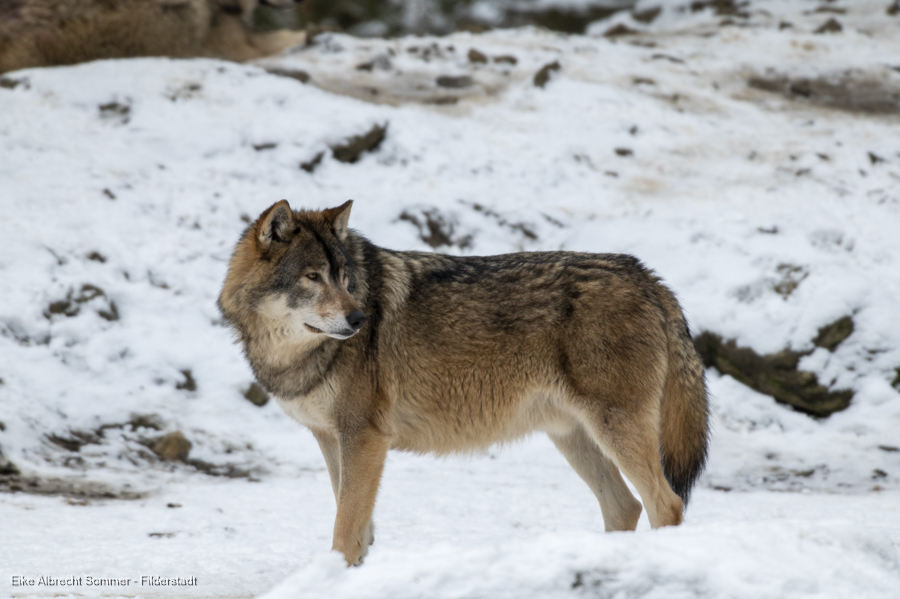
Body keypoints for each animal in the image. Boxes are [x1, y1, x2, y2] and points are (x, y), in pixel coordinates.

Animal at [218, 200, 710, 566]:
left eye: (343, 278)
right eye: (312, 276)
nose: (359, 319)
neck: (296, 356)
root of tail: (645, 274)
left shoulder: (366, 437)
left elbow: (345, 527)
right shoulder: (331, 437)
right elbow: (357, 527)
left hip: (615, 430)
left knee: (665, 504)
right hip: (574, 437)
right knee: (625, 507)